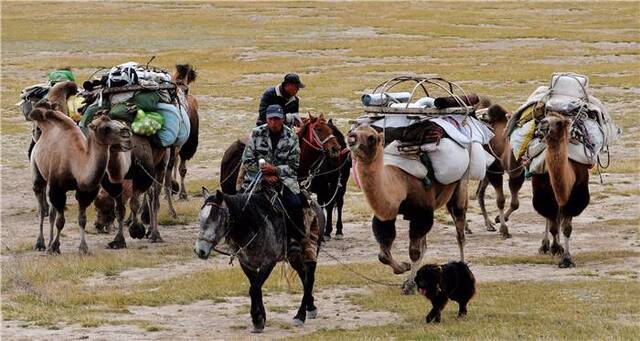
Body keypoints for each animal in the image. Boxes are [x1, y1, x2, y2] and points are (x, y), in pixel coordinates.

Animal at [30, 81, 131, 254]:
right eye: (105, 128)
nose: (126, 132)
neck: (76, 163)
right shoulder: (58, 187)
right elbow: (61, 220)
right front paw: (54, 247)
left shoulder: (85, 191)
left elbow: (81, 219)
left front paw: (83, 248)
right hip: (37, 170)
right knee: (42, 207)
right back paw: (41, 243)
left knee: (51, 213)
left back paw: (48, 242)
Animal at [194, 186, 324, 332]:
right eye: (200, 218)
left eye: (216, 218)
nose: (200, 250)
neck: (252, 226)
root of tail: (315, 204)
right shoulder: (246, 264)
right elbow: (255, 287)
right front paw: (261, 318)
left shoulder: (268, 263)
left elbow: (254, 288)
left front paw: (257, 319)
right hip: (294, 256)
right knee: (304, 277)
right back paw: (310, 307)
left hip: (311, 251)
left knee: (309, 279)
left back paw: (300, 315)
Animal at [348, 123, 468, 294]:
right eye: (353, 130)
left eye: (371, 137)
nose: (351, 138)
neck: (401, 184)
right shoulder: (386, 216)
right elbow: (383, 254)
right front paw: (404, 268)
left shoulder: (423, 213)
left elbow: (414, 252)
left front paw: (410, 285)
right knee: (426, 243)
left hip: (460, 188)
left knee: (460, 232)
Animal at [476, 103, 524, 236]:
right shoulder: (494, 170)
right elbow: (500, 200)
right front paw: (504, 229)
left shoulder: (517, 174)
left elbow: (515, 203)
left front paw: (499, 219)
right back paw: (467, 228)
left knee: (479, 193)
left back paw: (488, 225)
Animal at [528, 111, 592, 266]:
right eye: (545, 119)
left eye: (559, 123)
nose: (542, 124)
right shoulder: (546, 196)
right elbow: (553, 226)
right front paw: (556, 248)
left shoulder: (574, 198)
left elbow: (567, 228)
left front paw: (567, 259)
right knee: (551, 219)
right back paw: (545, 246)